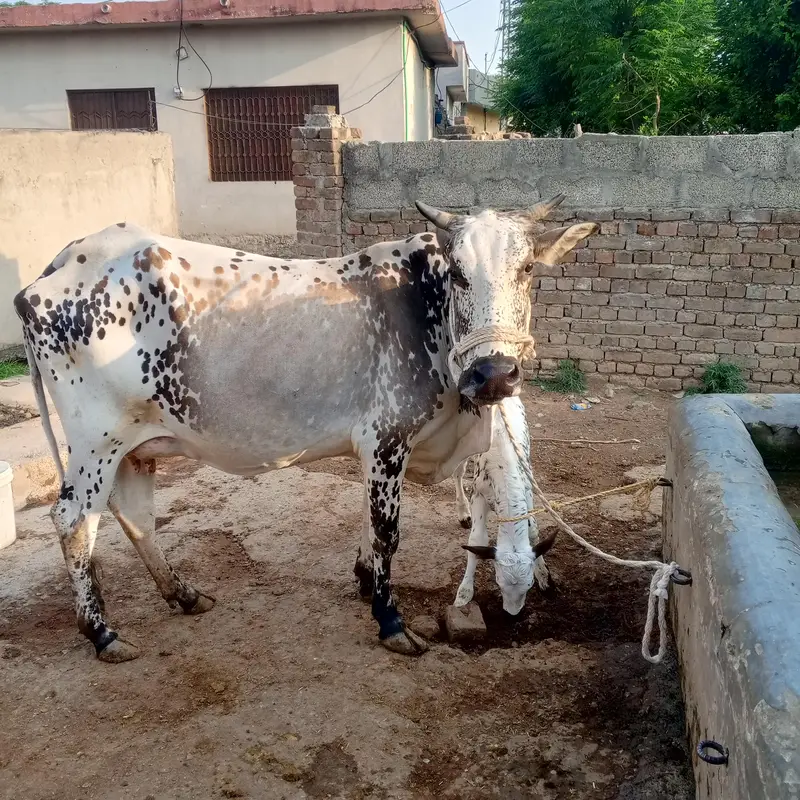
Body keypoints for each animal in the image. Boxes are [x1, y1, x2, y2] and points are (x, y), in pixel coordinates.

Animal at [453, 396, 553, 615]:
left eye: (529, 585)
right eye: (498, 582)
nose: (513, 615)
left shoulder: (528, 490)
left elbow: (533, 531)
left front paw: (544, 576)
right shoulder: (479, 494)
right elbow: (476, 540)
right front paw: (464, 593)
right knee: (458, 471)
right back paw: (463, 512)